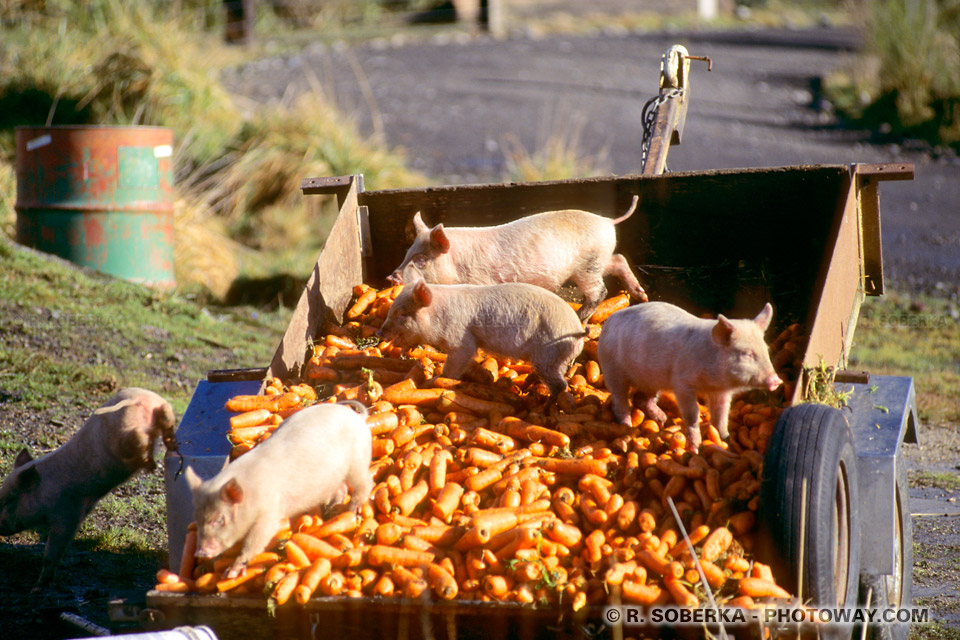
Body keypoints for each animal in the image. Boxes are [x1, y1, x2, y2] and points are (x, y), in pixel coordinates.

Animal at [0, 384, 175, 592]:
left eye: (9, 501)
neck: (46, 490)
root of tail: (136, 399)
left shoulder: (66, 514)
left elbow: (51, 553)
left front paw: (36, 588)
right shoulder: (83, 508)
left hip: (128, 431)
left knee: (138, 437)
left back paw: (151, 465)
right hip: (157, 409)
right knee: (166, 418)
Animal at [184, 402, 372, 576]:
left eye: (220, 519)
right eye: (197, 518)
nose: (200, 552)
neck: (250, 493)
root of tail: (358, 417)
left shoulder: (270, 512)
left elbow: (255, 540)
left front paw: (231, 573)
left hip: (357, 460)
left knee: (365, 483)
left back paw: (352, 510)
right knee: (341, 489)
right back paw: (331, 510)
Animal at [376, 266, 584, 400]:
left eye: (403, 313)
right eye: (392, 309)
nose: (379, 332)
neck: (438, 315)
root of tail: (578, 334)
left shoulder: (462, 341)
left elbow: (453, 367)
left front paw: (434, 381)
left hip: (548, 357)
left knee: (560, 385)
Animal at [386, 195, 648, 322]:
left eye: (422, 259)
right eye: (407, 253)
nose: (391, 276)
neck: (457, 263)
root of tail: (608, 221)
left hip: (588, 265)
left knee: (599, 292)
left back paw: (580, 316)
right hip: (600, 260)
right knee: (619, 259)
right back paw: (641, 295)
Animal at [600, 302, 780, 452]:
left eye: (766, 350)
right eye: (746, 354)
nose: (777, 380)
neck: (713, 381)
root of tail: (608, 323)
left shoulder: (721, 392)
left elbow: (721, 415)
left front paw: (725, 440)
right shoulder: (682, 384)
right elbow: (692, 414)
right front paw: (695, 448)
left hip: (651, 379)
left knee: (641, 399)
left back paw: (664, 421)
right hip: (612, 368)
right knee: (620, 400)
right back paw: (627, 424)